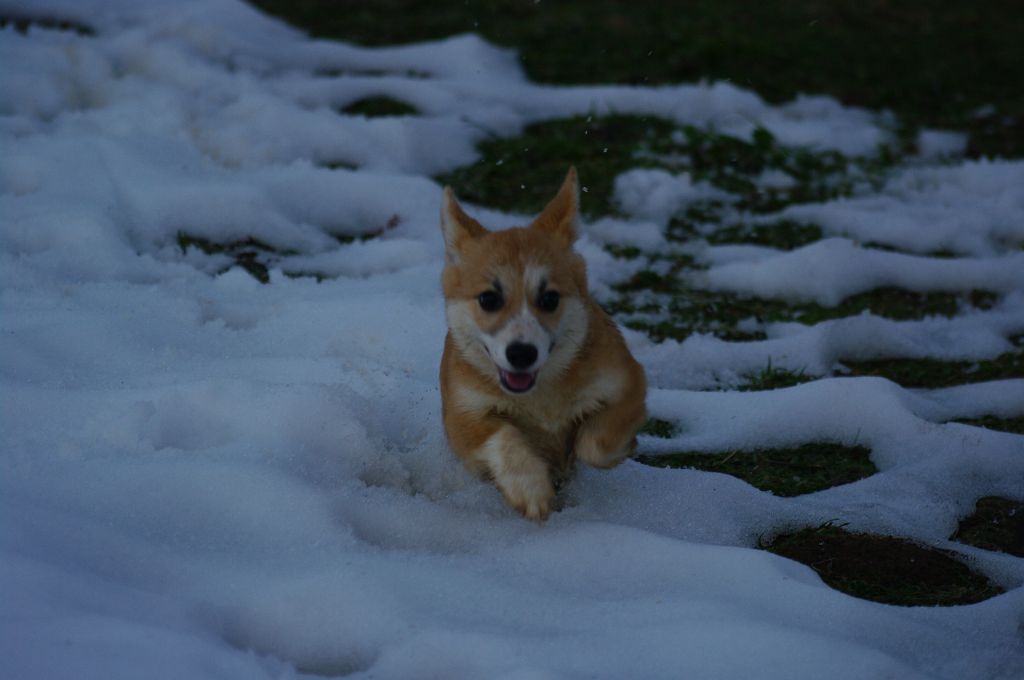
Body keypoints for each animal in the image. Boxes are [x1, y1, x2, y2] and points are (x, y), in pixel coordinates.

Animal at [436, 168, 643, 520]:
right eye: (488, 299)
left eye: (550, 299)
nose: (521, 353)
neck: (538, 398)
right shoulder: (461, 416)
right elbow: (504, 435)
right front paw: (529, 487)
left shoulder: (627, 380)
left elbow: (596, 443)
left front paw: (611, 448)